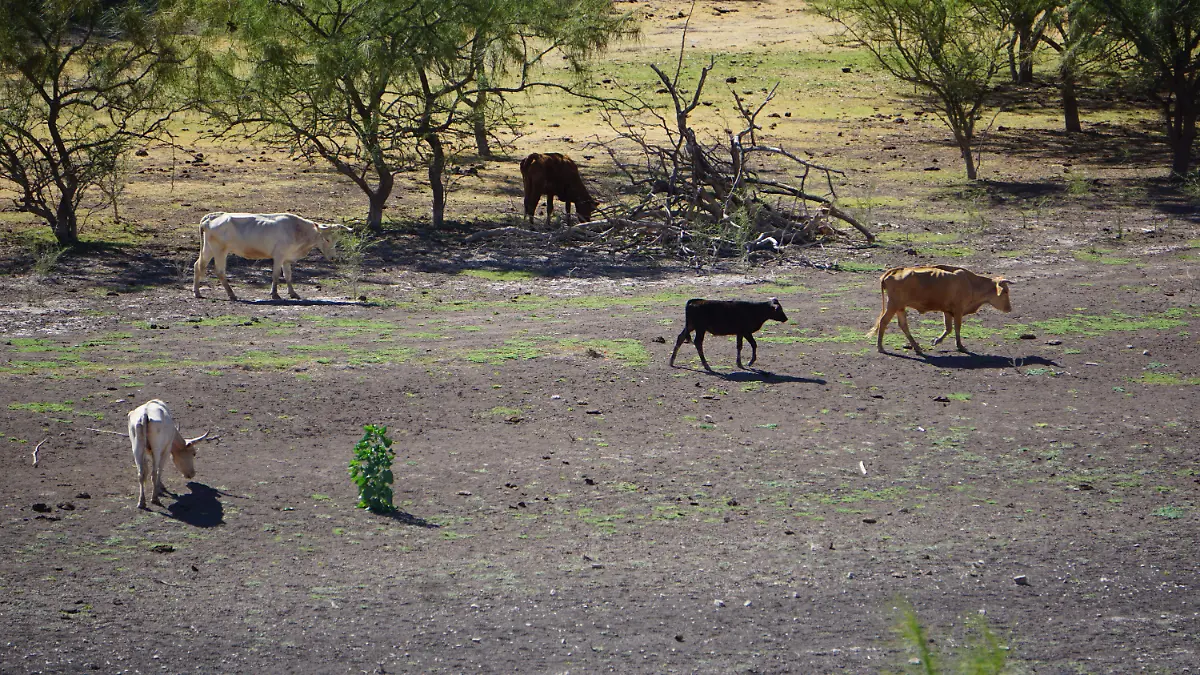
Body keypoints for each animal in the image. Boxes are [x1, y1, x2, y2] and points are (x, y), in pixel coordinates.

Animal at [193, 212, 351, 301]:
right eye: (327, 239)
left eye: (336, 240)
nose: (333, 257)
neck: (297, 230)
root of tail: (211, 217)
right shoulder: (279, 256)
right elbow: (275, 275)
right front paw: (275, 294)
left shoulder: (286, 258)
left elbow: (288, 276)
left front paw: (293, 293)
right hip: (220, 250)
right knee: (220, 271)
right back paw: (232, 295)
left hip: (208, 249)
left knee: (198, 265)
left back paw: (197, 292)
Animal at [869, 265, 1013, 355]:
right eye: (1005, 291)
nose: (1009, 308)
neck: (970, 283)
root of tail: (893, 272)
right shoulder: (958, 310)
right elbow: (957, 328)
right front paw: (960, 346)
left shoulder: (947, 311)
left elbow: (948, 328)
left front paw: (936, 341)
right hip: (893, 305)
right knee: (883, 321)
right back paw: (880, 347)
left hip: (900, 307)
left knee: (903, 325)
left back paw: (917, 347)